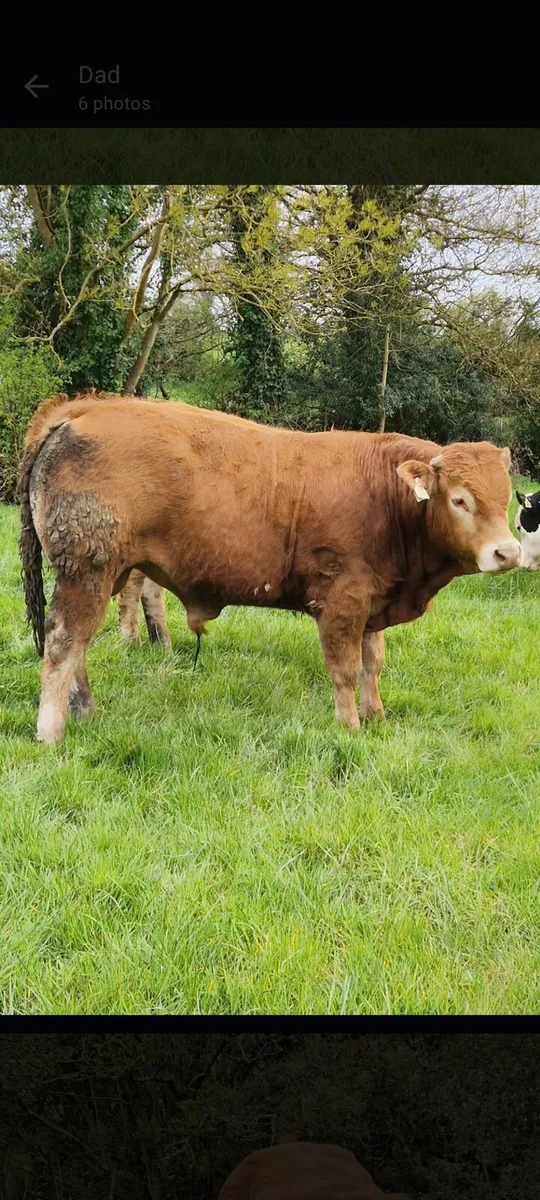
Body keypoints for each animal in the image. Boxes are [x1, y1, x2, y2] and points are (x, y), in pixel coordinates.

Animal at [18, 390, 520, 744]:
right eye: (460, 499)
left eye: (505, 497)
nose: (509, 553)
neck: (384, 495)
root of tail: (81, 410)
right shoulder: (342, 602)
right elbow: (343, 669)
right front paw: (350, 727)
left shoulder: (373, 601)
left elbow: (372, 664)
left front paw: (376, 716)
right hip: (86, 570)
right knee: (63, 644)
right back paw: (52, 732)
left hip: (106, 572)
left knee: (81, 645)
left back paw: (85, 710)